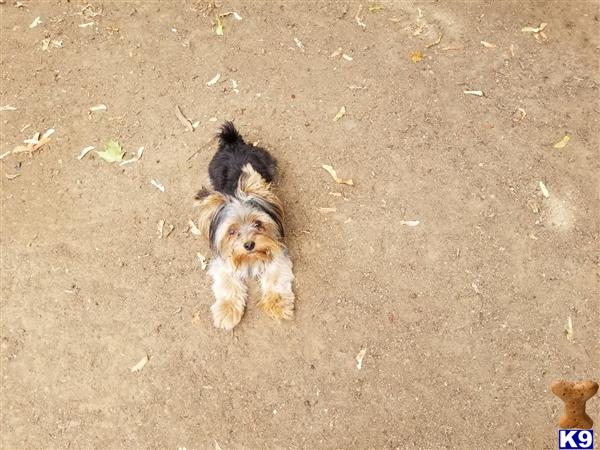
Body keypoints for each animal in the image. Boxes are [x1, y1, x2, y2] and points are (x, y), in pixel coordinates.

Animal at [197, 121, 296, 328]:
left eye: (258, 224)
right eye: (232, 231)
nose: (249, 245)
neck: (250, 258)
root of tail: (233, 142)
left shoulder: (277, 252)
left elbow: (276, 278)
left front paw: (277, 305)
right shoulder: (223, 262)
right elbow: (227, 284)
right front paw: (227, 311)